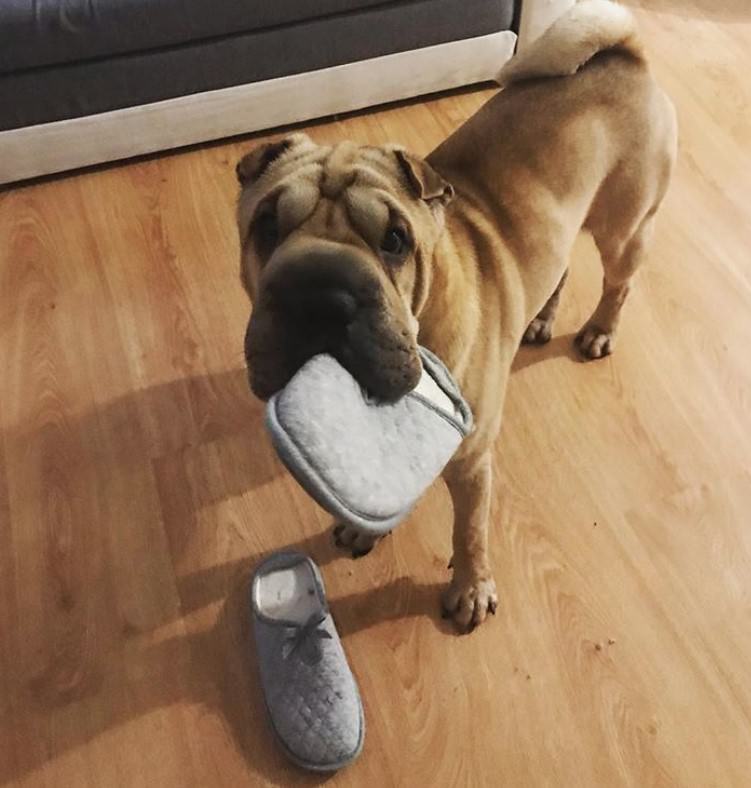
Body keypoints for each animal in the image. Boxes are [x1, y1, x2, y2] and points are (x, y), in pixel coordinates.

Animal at [238, 0, 680, 628]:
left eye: (395, 240)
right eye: (267, 226)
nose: (321, 290)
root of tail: (625, 53)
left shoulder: (471, 462)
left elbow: (469, 531)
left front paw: (471, 590)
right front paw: (359, 528)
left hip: (625, 227)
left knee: (618, 284)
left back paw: (597, 331)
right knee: (561, 268)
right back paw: (540, 320)